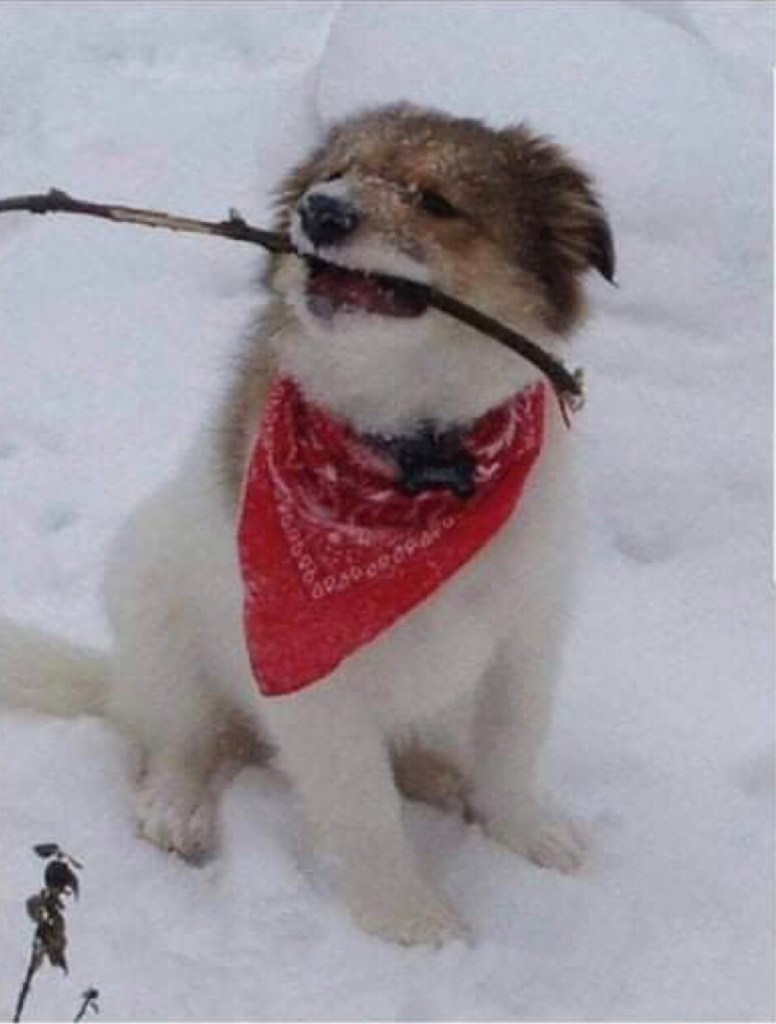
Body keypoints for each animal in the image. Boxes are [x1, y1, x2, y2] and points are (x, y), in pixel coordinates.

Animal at [1, 103, 614, 945]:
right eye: (336, 173)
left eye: (436, 201)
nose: (319, 213)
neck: (418, 453)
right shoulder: (309, 677)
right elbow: (362, 807)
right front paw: (412, 922)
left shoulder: (527, 633)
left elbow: (511, 750)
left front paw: (523, 833)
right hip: (155, 609)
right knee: (179, 737)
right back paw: (176, 805)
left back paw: (437, 775)